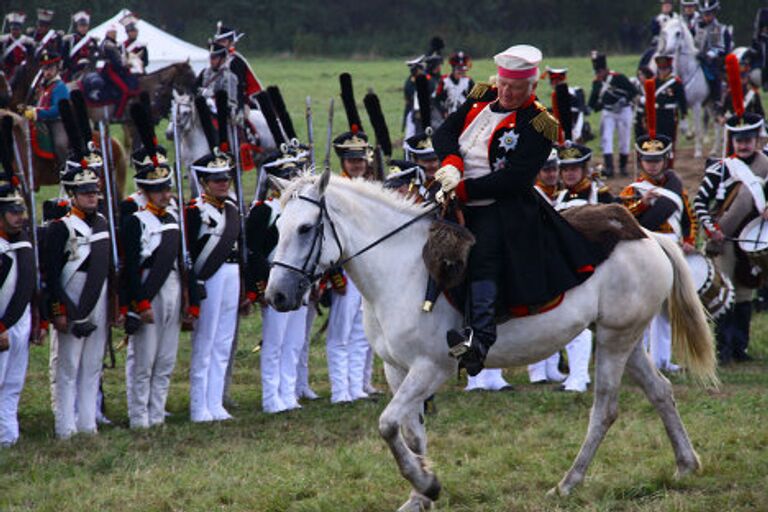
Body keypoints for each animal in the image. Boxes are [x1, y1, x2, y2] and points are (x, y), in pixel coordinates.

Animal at [266, 171, 720, 512]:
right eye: (278, 228)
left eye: (306, 229)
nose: (277, 296)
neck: (398, 268)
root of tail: (646, 234)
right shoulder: (397, 370)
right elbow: (410, 433)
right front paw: (420, 493)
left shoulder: (431, 368)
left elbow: (388, 425)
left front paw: (426, 486)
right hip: (623, 338)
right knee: (661, 391)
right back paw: (685, 465)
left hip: (614, 340)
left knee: (604, 410)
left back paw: (568, 483)